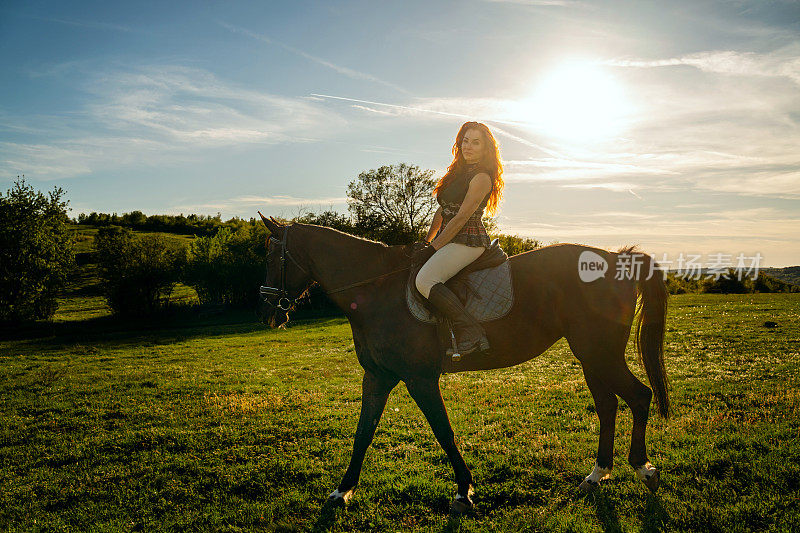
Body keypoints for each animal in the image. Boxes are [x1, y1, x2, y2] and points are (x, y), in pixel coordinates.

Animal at [258, 215, 668, 512]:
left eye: (272, 255)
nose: (268, 311)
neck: (376, 291)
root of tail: (618, 257)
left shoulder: (419, 379)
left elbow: (443, 431)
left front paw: (463, 491)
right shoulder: (377, 377)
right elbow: (363, 433)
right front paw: (342, 491)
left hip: (599, 353)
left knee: (639, 396)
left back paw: (643, 469)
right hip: (591, 356)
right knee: (608, 406)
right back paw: (597, 475)